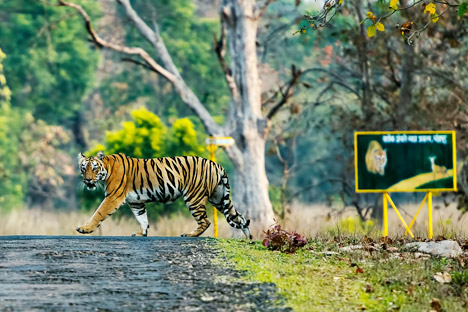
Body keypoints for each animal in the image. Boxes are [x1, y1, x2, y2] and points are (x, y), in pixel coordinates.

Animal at [77, 152, 252, 239]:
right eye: (83, 168)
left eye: (94, 168)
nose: (87, 180)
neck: (107, 168)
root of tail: (216, 164)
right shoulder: (136, 202)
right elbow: (142, 218)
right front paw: (142, 234)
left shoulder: (113, 197)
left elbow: (98, 213)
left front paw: (85, 228)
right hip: (219, 198)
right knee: (239, 217)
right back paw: (249, 238)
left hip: (193, 198)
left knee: (205, 221)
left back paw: (189, 234)